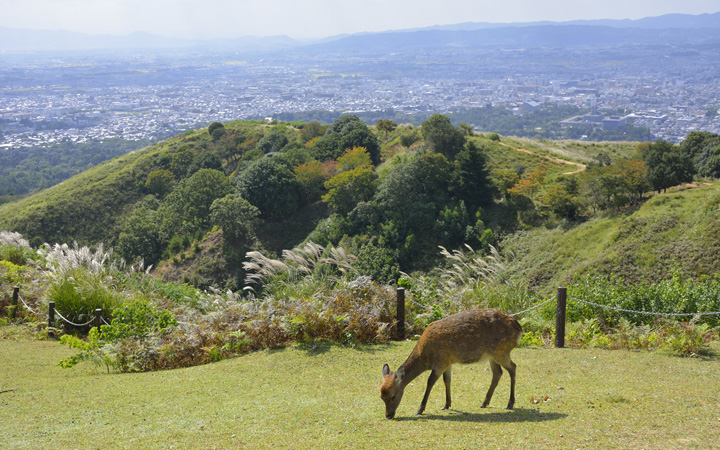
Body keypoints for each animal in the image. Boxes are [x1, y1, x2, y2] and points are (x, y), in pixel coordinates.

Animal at [376, 308, 524, 420]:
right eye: (381, 396)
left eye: (393, 396)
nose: (388, 415)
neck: (424, 356)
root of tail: (519, 328)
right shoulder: (448, 362)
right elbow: (447, 380)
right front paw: (446, 404)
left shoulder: (440, 361)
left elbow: (430, 382)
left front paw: (420, 410)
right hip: (491, 355)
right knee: (498, 372)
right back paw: (484, 403)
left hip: (501, 351)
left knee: (513, 367)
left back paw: (510, 403)